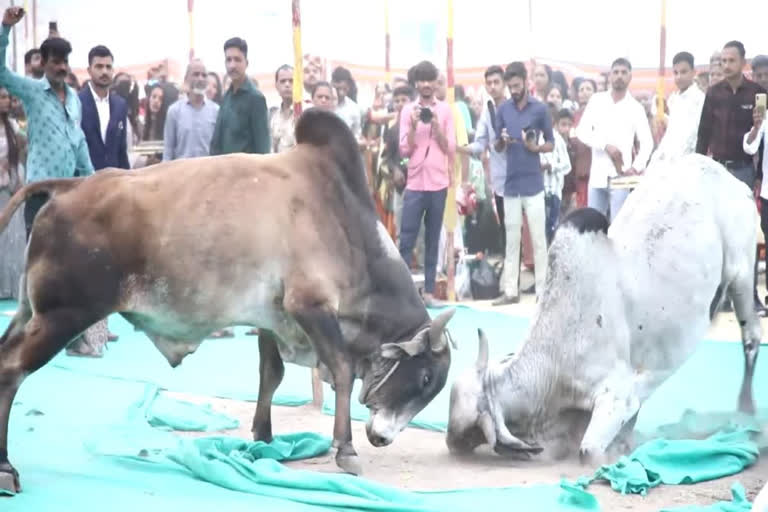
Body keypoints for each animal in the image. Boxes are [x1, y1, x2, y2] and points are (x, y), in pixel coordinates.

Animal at [0, 110, 456, 494]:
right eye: (425, 378)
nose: (382, 437)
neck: (349, 229)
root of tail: (69, 186)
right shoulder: (311, 306)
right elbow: (342, 370)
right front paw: (345, 450)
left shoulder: (273, 317)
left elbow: (270, 375)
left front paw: (264, 439)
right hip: (63, 315)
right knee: (11, 371)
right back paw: (7, 470)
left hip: (30, 313)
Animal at [444, 154, 760, 462]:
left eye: (471, 431)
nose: (450, 443)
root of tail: (733, 182)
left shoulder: (617, 394)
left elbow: (589, 452)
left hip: (742, 274)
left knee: (752, 338)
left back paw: (747, 413)